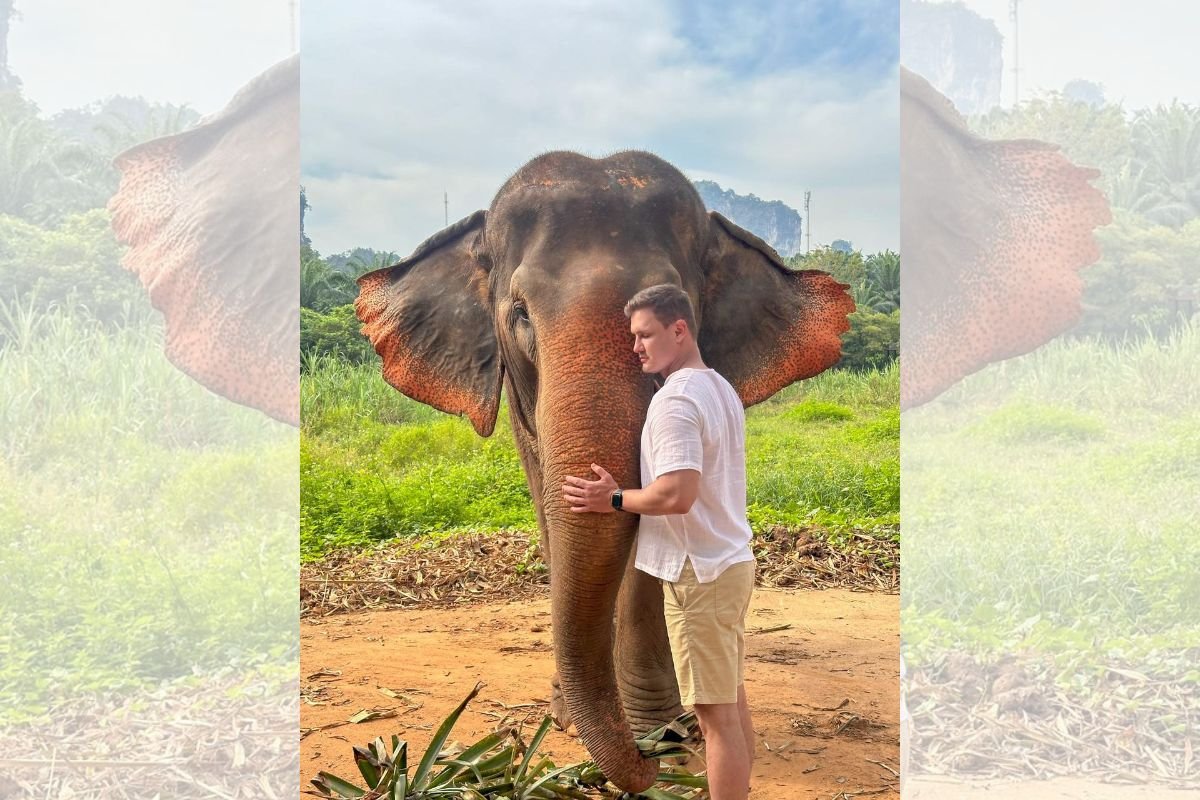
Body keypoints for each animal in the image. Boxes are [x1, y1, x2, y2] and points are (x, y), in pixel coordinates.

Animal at [352, 151, 854, 796]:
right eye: (520, 314)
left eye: (674, 307)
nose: (652, 755)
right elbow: (549, 506)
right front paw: (567, 715)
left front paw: (657, 724)